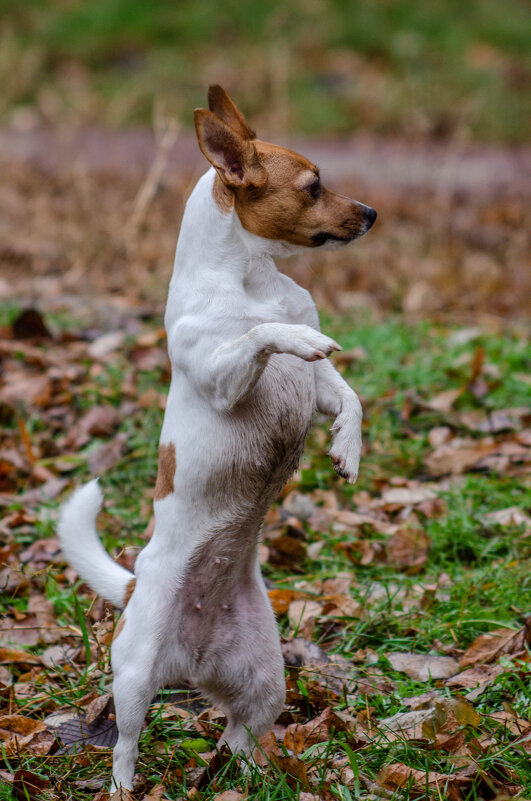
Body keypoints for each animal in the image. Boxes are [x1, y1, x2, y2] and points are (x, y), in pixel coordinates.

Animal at [59, 86, 378, 788]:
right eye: (315, 186)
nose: (373, 211)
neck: (254, 280)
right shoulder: (224, 375)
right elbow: (264, 334)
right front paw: (293, 337)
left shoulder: (317, 390)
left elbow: (349, 396)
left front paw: (347, 446)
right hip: (135, 675)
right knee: (125, 741)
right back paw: (126, 786)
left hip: (265, 683)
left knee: (239, 738)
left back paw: (252, 775)